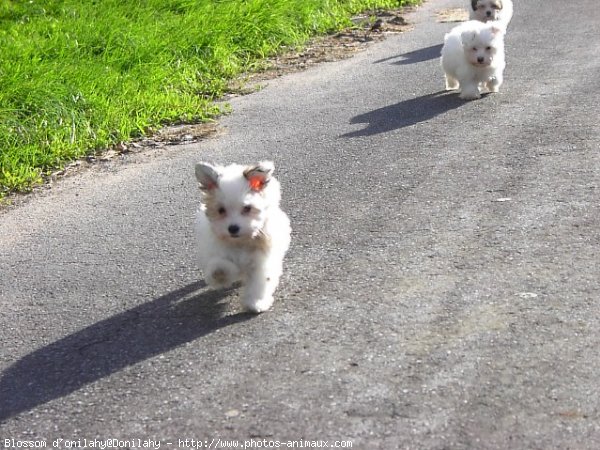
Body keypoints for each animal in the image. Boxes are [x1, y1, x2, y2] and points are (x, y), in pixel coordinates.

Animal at [195, 161, 290, 312]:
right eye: (221, 210)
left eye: (247, 208)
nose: (233, 228)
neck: (241, 241)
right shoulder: (216, 249)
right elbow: (220, 264)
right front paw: (220, 272)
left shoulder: (260, 260)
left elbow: (259, 280)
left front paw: (256, 302)